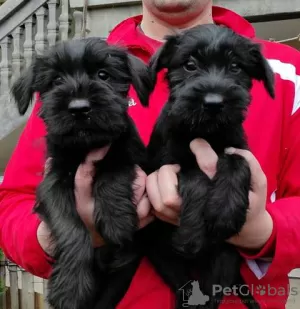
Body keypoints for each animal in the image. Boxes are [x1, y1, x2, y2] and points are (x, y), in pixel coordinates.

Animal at [11, 38, 151, 308]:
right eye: (56, 80)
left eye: (103, 74)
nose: (79, 108)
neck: (86, 146)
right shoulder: (53, 183)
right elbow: (71, 226)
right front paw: (71, 287)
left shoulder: (131, 154)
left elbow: (115, 169)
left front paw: (116, 219)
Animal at [142, 24, 276, 308]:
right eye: (190, 65)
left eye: (236, 67)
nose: (214, 103)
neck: (207, 133)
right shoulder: (165, 166)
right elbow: (195, 176)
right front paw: (191, 233)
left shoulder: (239, 148)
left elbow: (237, 162)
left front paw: (225, 211)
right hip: (165, 257)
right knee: (185, 289)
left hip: (223, 259)